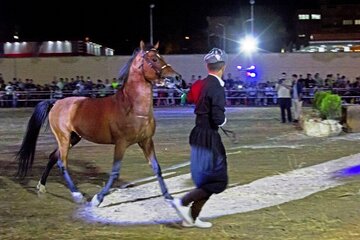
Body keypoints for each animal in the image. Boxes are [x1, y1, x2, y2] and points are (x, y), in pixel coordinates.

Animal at [15, 41, 181, 206]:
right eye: (154, 59)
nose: (176, 78)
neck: (131, 107)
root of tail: (56, 102)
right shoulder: (121, 143)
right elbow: (115, 172)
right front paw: (97, 199)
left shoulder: (146, 141)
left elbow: (157, 168)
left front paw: (169, 197)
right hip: (64, 138)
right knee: (62, 163)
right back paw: (77, 195)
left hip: (73, 138)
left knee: (53, 157)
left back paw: (42, 186)